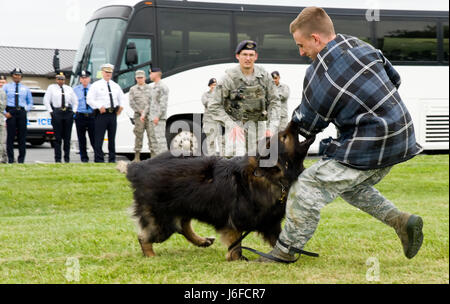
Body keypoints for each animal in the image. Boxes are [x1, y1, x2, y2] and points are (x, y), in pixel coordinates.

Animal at [118, 123, 314, 262]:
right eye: (284, 137)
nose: (296, 122)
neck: (268, 175)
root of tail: (138, 167)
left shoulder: (270, 222)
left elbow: (280, 240)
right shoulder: (234, 222)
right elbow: (236, 244)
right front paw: (237, 259)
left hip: (182, 209)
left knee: (183, 226)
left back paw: (201, 241)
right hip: (163, 222)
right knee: (145, 237)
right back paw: (151, 256)